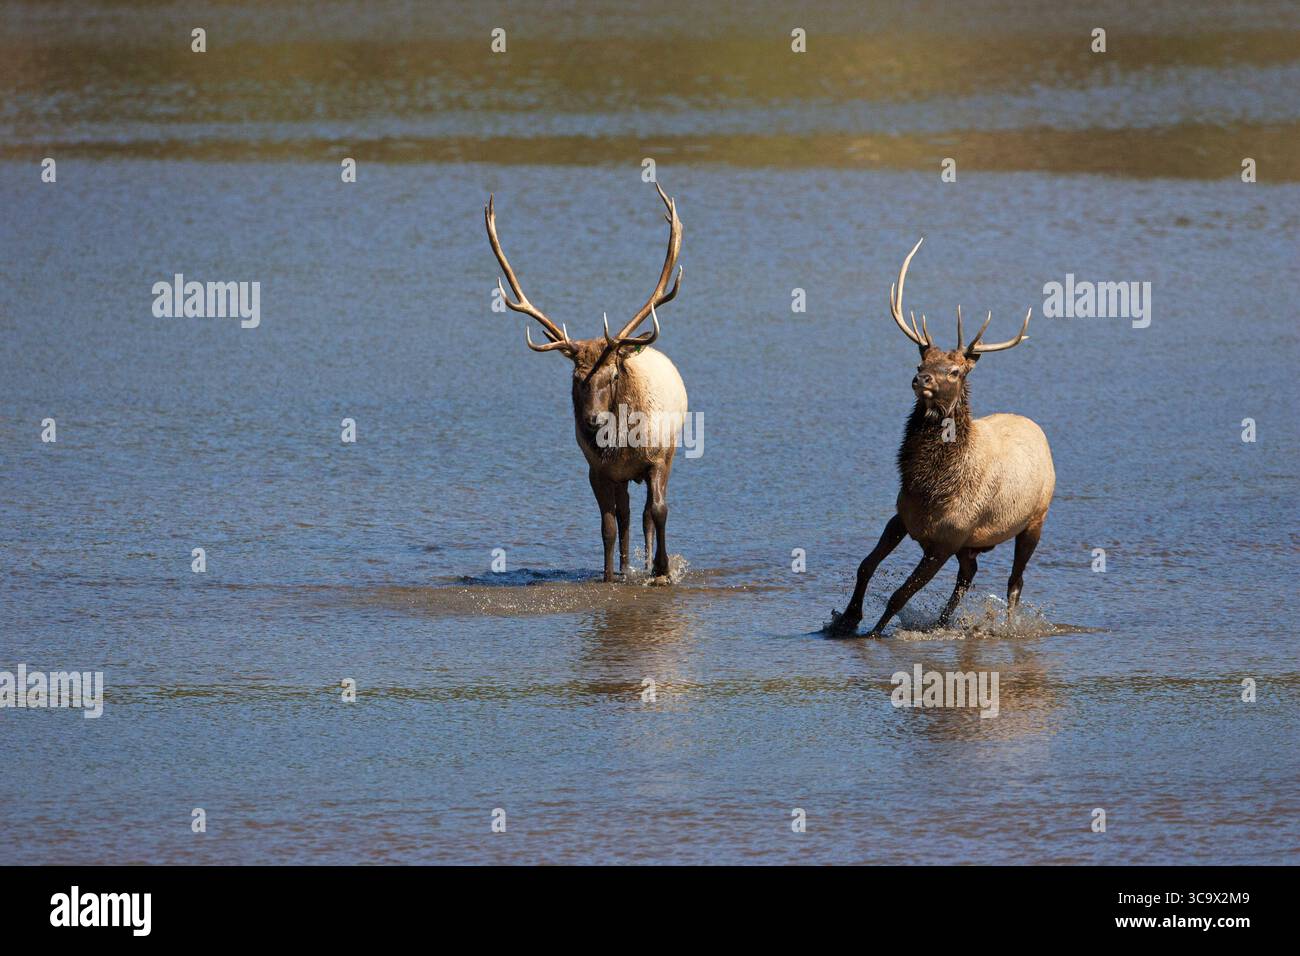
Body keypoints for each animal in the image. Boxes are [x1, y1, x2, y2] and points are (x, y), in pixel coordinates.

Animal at [484, 183, 688, 585]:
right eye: (576, 378)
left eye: (613, 375)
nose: (594, 420)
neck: (623, 444)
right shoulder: (597, 470)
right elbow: (608, 525)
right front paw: (609, 577)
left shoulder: (658, 457)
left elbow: (659, 510)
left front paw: (662, 570)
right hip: (621, 477)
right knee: (627, 516)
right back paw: (626, 568)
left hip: (669, 453)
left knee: (647, 514)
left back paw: (645, 565)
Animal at [830, 238, 1055, 637]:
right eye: (920, 363)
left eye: (954, 371)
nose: (921, 379)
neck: (929, 486)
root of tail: (1036, 429)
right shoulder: (902, 518)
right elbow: (864, 566)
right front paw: (844, 619)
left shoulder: (947, 540)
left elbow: (899, 596)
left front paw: (873, 631)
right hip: (972, 544)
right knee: (968, 575)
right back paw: (943, 621)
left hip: (1034, 521)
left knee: (1014, 583)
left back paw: (1007, 626)